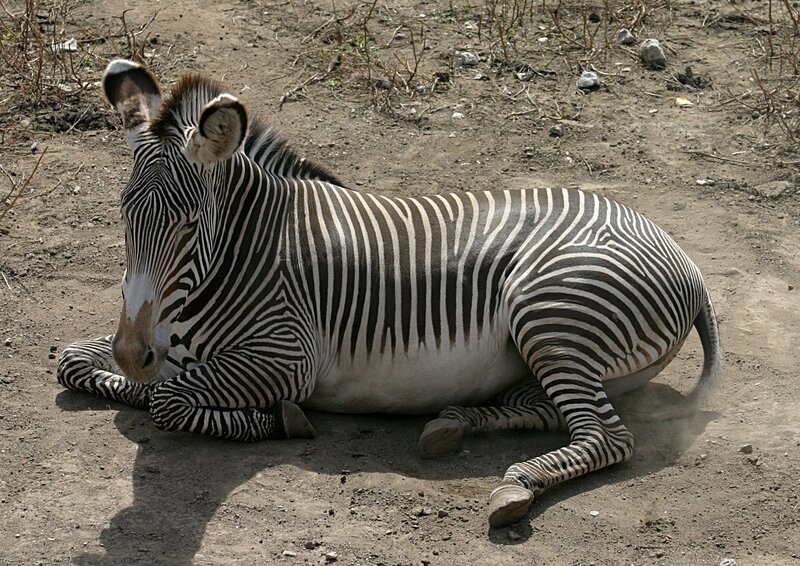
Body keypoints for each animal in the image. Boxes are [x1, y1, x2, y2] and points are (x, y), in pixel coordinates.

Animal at [58, 59, 721, 528]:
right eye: (123, 215)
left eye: (190, 225)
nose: (133, 355)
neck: (244, 251)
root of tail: (683, 260)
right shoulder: (156, 340)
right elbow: (72, 362)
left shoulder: (287, 357)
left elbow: (168, 400)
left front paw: (276, 419)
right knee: (550, 409)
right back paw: (455, 423)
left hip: (551, 312)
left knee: (608, 438)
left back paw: (517, 485)